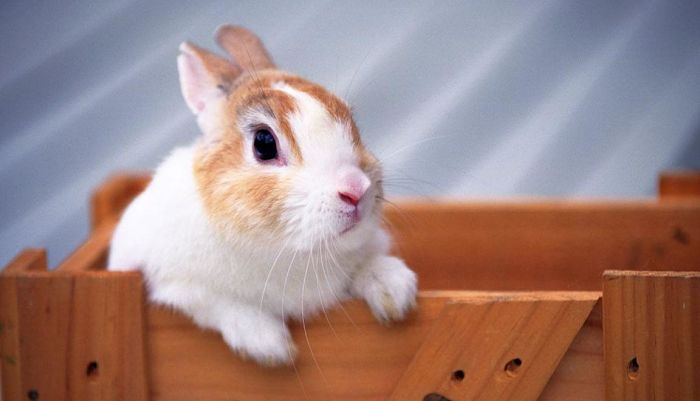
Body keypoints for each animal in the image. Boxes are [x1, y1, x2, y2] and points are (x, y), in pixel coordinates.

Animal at [108, 25, 417, 366]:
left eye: (351, 120)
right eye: (264, 143)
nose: (357, 189)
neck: (289, 253)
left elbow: (367, 263)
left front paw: (395, 291)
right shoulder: (177, 284)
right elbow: (219, 304)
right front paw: (269, 346)